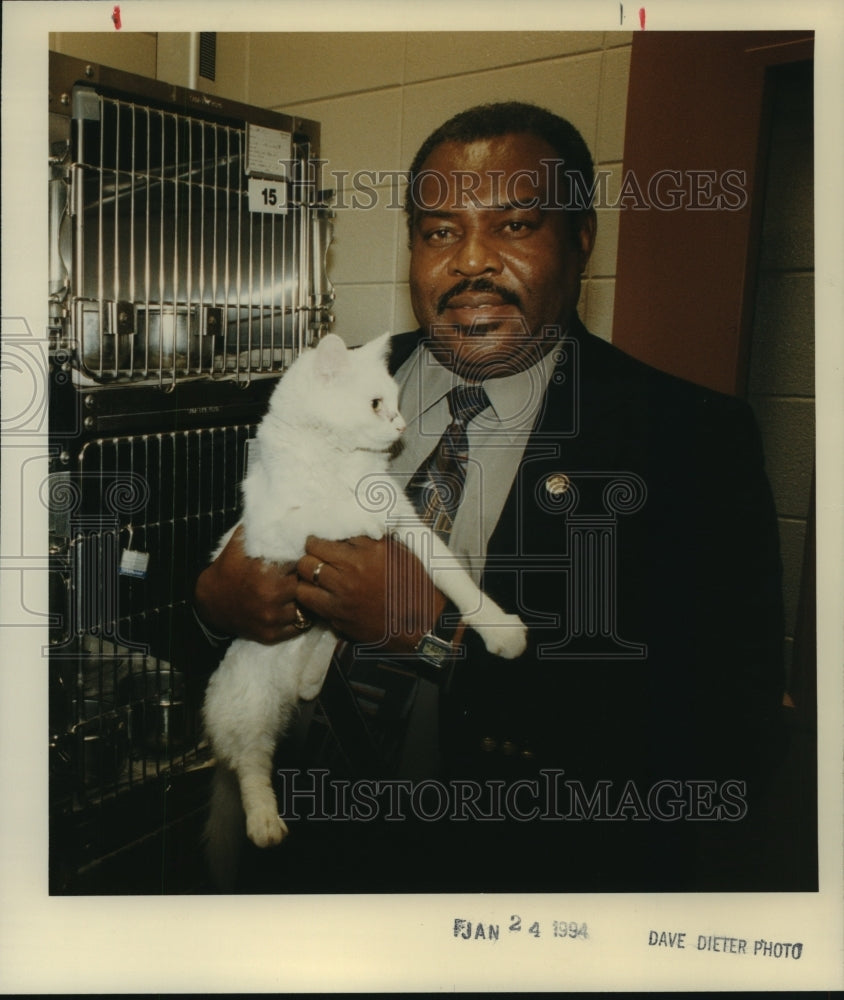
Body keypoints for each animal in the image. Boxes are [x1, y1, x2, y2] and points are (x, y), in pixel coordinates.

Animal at [200, 332, 524, 888]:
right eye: (376, 404)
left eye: (394, 401)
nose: (399, 424)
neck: (341, 458)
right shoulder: (266, 532)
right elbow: (325, 513)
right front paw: (363, 516)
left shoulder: (414, 526)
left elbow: (454, 579)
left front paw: (499, 628)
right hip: (248, 707)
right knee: (249, 766)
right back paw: (265, 823)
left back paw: (310, 680)